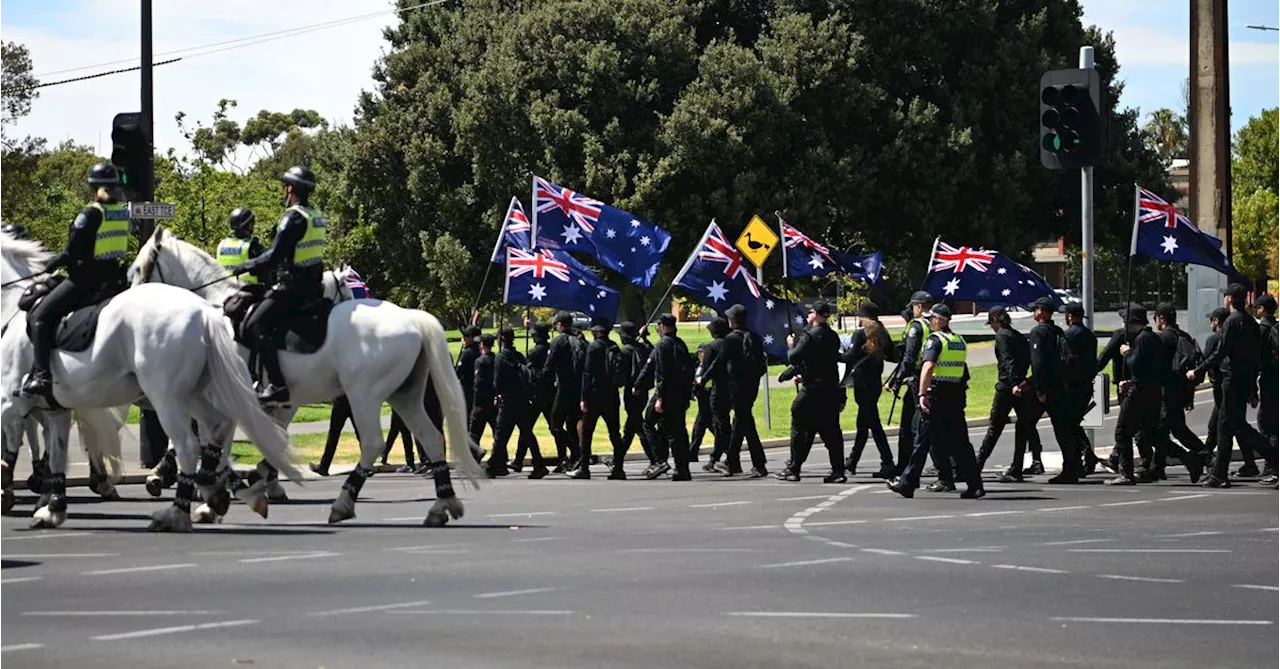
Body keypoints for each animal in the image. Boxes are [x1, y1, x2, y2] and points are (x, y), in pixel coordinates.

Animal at [0, 232, 302, 532]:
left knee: (190, 444)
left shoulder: (10, 403)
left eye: (139, 269)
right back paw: (217, 491)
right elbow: (57, 455)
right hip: (191, 395)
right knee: (216, 428)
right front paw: (52, 510)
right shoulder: (55, 410)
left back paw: (176, 511)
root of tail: (205, 311)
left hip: (167, 397)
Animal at [133, 227, 483, 527]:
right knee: (431, 438)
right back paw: (441, 504)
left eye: (137, 269)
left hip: (365, 395)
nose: (133, 305)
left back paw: (343, 503)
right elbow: (224, 448)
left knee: (373, 443)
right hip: (404, 395)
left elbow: (222, 449)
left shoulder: (236, 402)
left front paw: (221, 496)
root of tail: (411, 317)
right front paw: (222, 493)